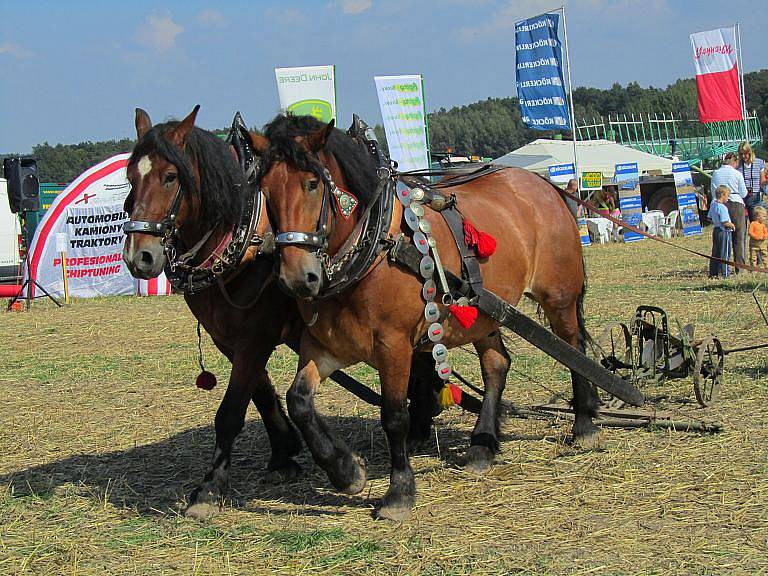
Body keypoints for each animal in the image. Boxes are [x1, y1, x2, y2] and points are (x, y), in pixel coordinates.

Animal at [254, 115, 600, 520]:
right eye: (265, 190)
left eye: (312, 184)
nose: (297, 278)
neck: (376, 247)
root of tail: (545, 185)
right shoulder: (324, 345)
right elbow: (298, 401)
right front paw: (346, 472)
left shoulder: (393, 345)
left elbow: (394, 416)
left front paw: (399, 492)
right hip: (484, 312)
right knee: (497, 365)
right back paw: (482, 446)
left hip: (559, 298)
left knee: (574, 351)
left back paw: (584, 425)